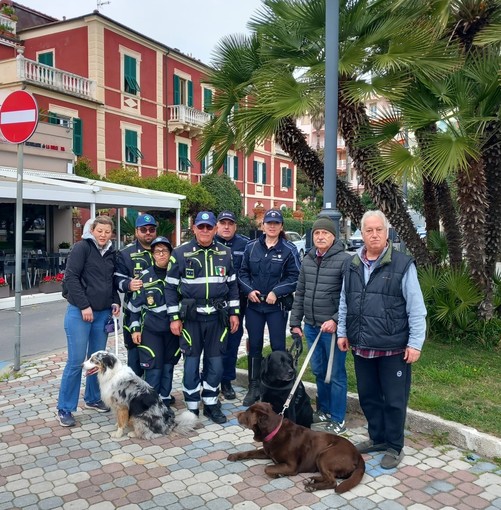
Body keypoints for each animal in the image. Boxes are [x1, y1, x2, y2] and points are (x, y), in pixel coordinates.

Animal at [227, 400, 364, 492]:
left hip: (324, 455)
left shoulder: (291, 466)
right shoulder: (266, 452)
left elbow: (268, 468)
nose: (237, 415)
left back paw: (312, 486)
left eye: (246, 413)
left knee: (332, 482)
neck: (274, 430)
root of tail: (358, 455)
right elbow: (249, 452)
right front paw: (234, 455)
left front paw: (278, 474)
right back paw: (312, 480)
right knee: (328, 477)